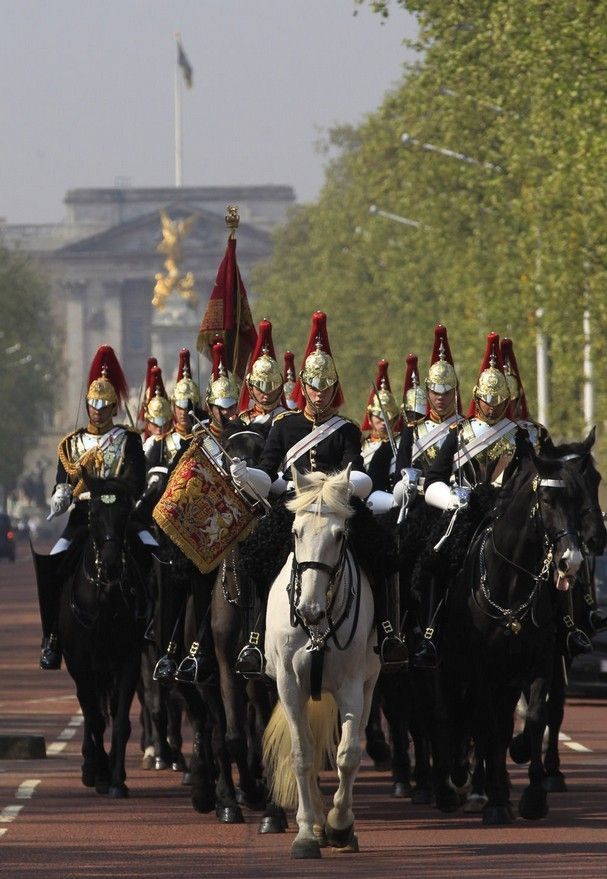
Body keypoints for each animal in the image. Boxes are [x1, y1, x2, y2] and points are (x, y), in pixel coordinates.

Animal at [57, 474, 150, 796]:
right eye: (94, 515)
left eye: (124, 514)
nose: (110, 566)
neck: (104, 598)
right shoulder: (80, 661)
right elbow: (95, 718)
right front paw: (97, 773)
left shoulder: (128, 659)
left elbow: (120, 720)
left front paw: (117, 779)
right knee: (90, 709)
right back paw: (91, 765)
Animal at [262, 468, 380, 860]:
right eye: (296, 531)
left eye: (340, 534)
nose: (309, 610)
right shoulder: (289, 685)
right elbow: (302, 754)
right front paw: (306, 833)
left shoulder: (352, 687)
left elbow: (348, 754)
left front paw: (339, 825)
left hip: (370, 683)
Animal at [446, 446, 584, 824]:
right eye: (547, 500)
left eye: (579, 501)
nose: (572, 561)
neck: (510, 583)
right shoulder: (481, 668)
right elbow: (488, 726)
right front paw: (495, 802)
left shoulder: (540, 662)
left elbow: (535, 719)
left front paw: (534, 796)